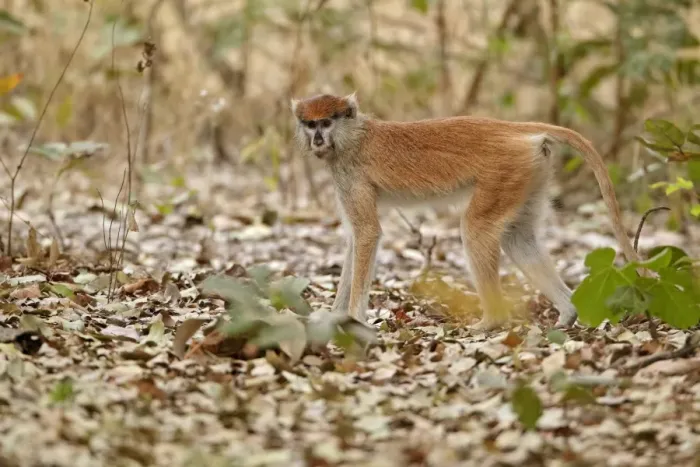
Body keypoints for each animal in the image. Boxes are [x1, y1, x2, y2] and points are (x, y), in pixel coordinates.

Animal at [290, 92, 640, 330]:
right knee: (518, 238)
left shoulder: (350, 174)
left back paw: (491, 321)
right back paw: (567, 313)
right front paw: (335, 316)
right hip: (529, 172)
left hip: (505, 171)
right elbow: (355, 239)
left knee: (476, 229)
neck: (353, 137)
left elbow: (367, 234)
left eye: (326, 122)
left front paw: (355, 320)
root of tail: (509, 129)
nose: (318, 138)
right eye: (310, 124)